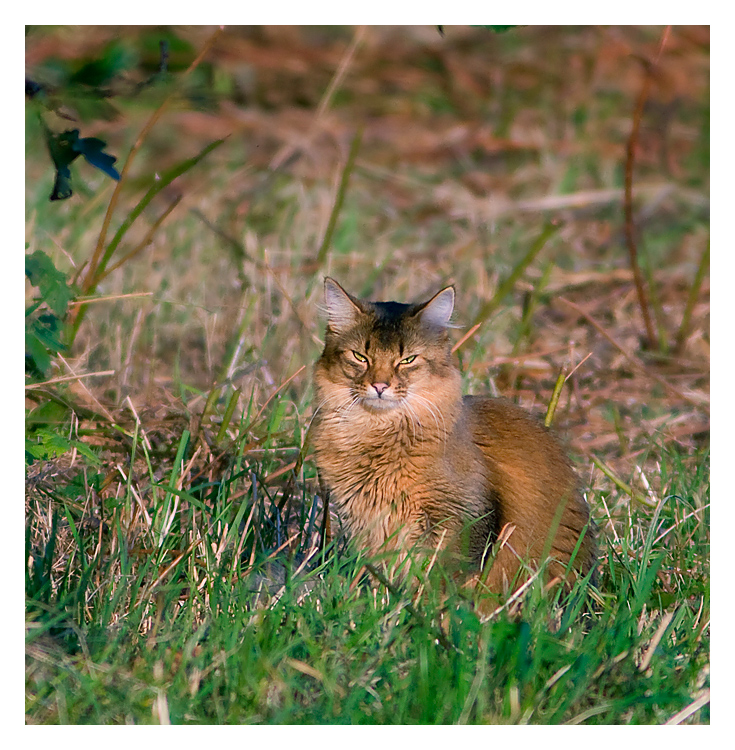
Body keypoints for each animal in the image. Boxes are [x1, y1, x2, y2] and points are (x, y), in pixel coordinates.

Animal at [312, 278, 600, 600]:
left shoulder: (463, 516)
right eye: (360, 357)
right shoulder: (366, 523)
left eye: (407, 360)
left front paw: (427, 609)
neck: (376, 434)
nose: (380, 386)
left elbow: (442, 579)